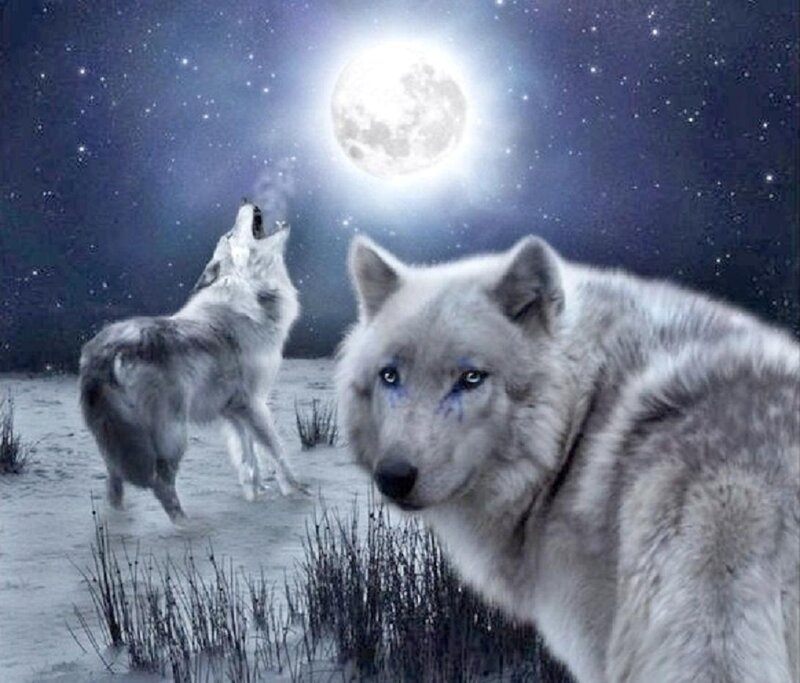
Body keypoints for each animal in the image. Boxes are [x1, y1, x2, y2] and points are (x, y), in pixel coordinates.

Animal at [80, 202, 306, 522]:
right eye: (229, 234)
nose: (246, 200)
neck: (250, 289)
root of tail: (107, 350)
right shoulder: (254, 403)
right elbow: (275, 449)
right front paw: (296, 491)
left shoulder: (235, 409)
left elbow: (248, 458)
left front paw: (255, 495)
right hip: (173, 436)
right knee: (161, 484)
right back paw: (186, 525)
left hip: (120, 445)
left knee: (115, 486)